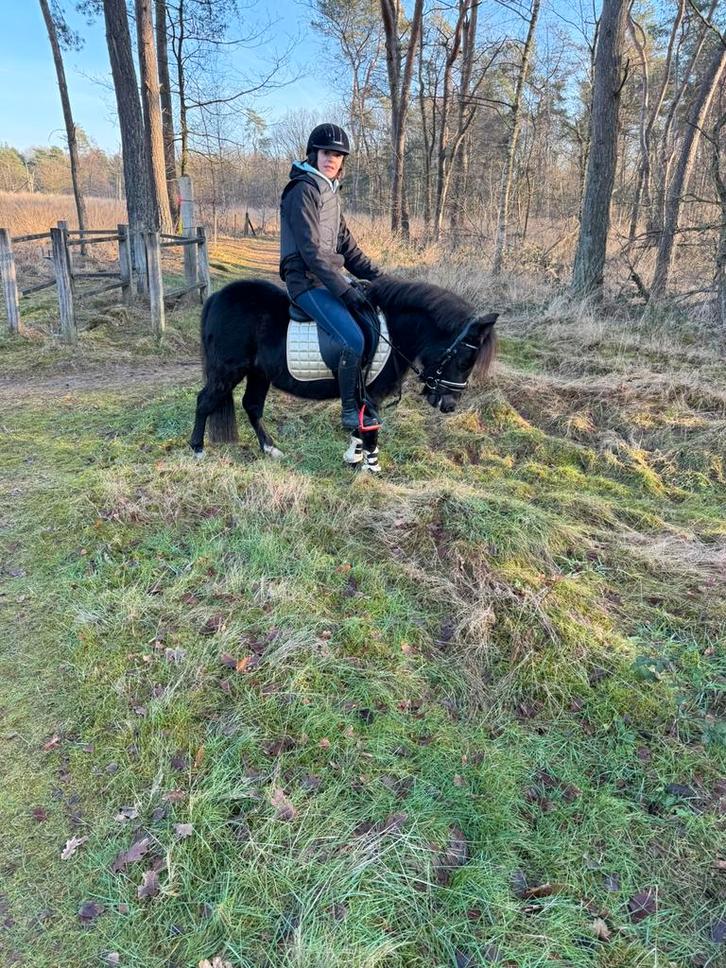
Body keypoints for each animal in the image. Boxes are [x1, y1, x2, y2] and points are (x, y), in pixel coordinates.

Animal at [189, 275, 497, 471]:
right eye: (465, 359)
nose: (449, 405)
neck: (392, 331)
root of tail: (216, 297)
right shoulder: (371, 395)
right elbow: (370, 429)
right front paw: (372, 469)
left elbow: (359, 430)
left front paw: (353, 458)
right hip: (227, 371)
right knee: (205, 401)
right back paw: (197, 450)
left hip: (258, 373)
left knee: (251, 406)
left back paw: (270, 449)